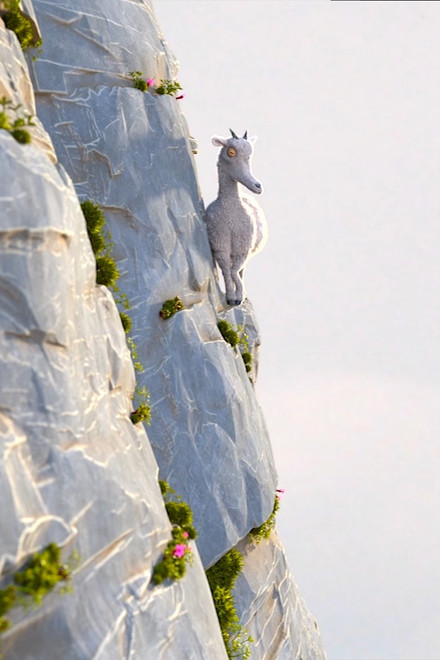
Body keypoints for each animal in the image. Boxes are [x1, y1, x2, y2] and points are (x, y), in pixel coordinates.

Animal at [205, 129, 267, 306]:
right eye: (231, 152)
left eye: (250, 154)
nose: (257, 186)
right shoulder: (220, 244)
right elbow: (227, 270)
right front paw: (230, 297)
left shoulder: (243, 246)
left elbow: (234, 270)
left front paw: (239, 297)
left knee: (241, 270)